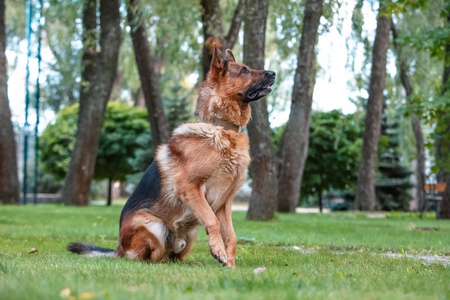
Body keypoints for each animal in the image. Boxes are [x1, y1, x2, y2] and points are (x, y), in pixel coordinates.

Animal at [67, 46, 274, 268]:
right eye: (244, 70)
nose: (273, 73)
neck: (221, 128)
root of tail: (118, 249)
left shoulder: (224, 203)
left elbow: (231, 236)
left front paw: (230, 265)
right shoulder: (189, 188)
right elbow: (212, 221)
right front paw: (218, 251)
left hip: (191, 233)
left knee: (175, 257)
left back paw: (190, 263)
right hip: (153, 225)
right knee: (149, 256)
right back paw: (157, 262)